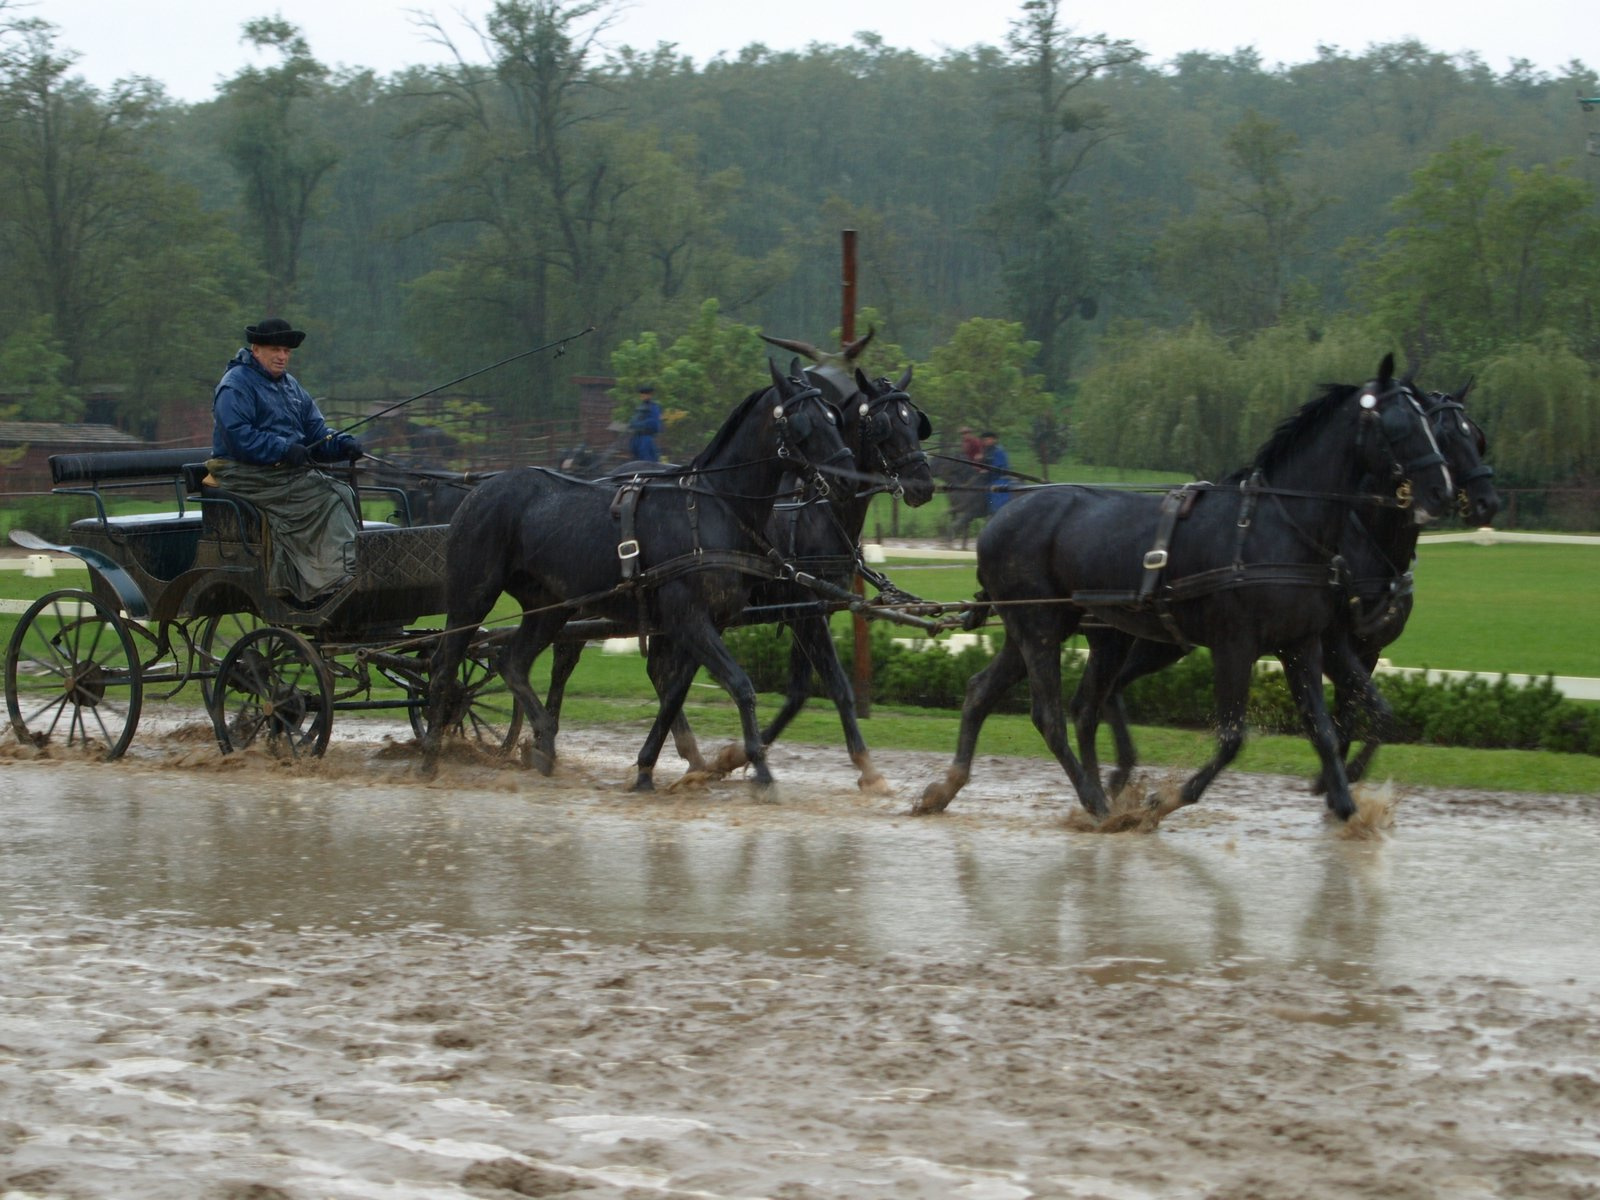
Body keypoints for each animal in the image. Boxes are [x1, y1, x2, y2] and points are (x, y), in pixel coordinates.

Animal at [419, 361, 857, 790]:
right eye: (805, 423)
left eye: (833, 417)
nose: (847, 478)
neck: (711, 507)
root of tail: (476, 492)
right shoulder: (688, 618)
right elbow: (739, 685)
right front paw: (760, 768)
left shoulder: (705, 623)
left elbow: (674, 694)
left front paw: (652, 768)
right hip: (473, 596)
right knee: (444, 669)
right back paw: (430, 755)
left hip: (549, 608)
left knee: (512, 663)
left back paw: (543, 742)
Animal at [915, 356, 1452, 825]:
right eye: (1401, 426)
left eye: (1437, 426)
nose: (1444, 490)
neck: (1280, 526)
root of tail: (1000, 516)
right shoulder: (1236, 646)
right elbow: (1232, 737)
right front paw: (1166, 799)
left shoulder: (1303, 644)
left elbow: (1325, 726)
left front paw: (1344, 803)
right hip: (1043, 627)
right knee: (1051, 716)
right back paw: (1097, 802)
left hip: (1048, 629)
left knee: (997, 693)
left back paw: (951, 786)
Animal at [1062, 376, 1497, 809]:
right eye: (1443, 435)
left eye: (1476, 437)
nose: (1484, 502)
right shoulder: (1329, 643)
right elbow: (1344, 715)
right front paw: (1335, 778)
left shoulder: (1360, 649)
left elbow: (1370, 714)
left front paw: (1338, 778)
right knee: (1102, 694)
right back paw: (1117, 773)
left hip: (1162, 641)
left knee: (1108, 692)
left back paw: (1120, 770)